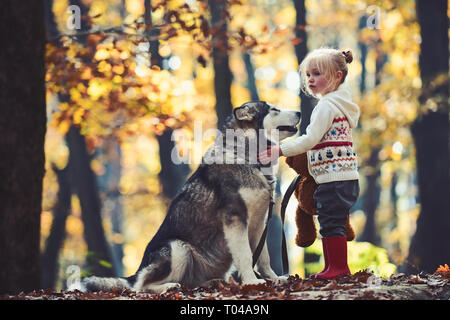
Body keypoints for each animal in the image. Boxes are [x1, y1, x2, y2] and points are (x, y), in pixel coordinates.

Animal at [75, 102, 300, 292]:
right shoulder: (235, 219)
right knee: (140, 286)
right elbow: (245, 255)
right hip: (178, 248)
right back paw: (169, 287)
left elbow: (263, 258)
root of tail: (136, 270)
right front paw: (252, 282)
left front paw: (274, 278)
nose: (299, 112)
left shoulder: (259, 223)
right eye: (274, 109)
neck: (248, 157)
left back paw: (211, 283)